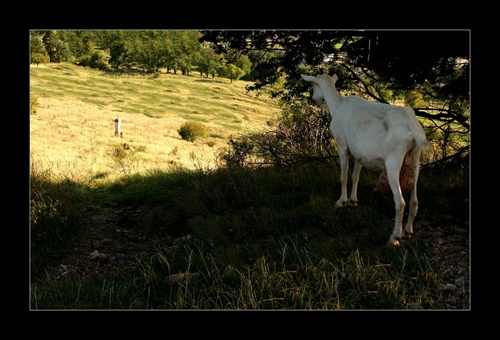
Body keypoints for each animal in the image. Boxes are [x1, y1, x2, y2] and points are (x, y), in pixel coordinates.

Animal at [300, 73, 430, 246]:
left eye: (313, 85)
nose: (315, 99)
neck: (337, 106)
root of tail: (412, 130)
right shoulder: (359, 154)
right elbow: (355, 176)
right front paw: (353, 201)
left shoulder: (342, 144)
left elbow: (343, 176)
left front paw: (341, 202)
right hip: (416, 160)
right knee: (414, 200)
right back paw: (408, 232)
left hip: (394, 160)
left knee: (400, 202)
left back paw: (395, 237)